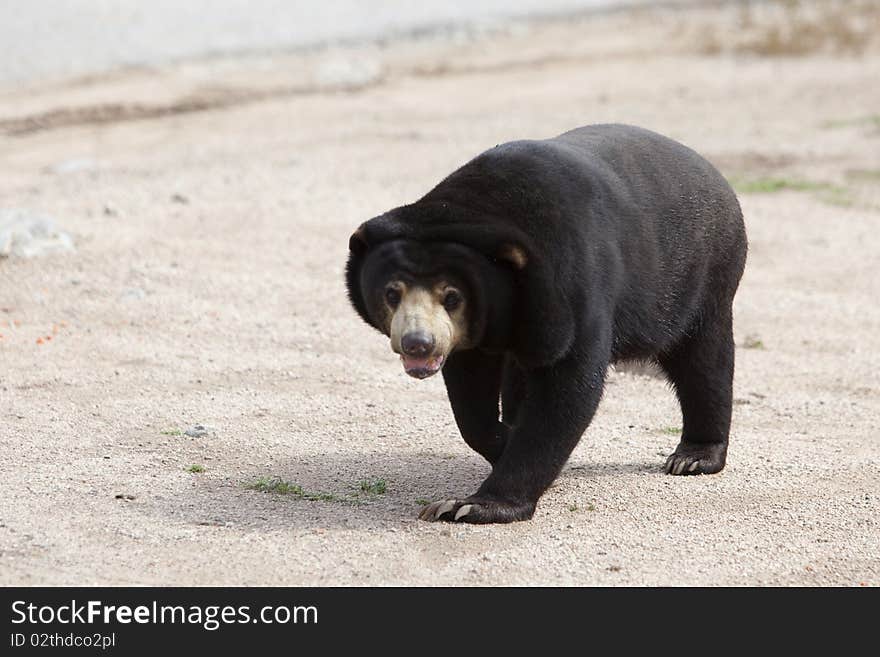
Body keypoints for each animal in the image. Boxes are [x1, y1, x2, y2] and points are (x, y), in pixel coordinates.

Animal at [346, 123, 748, 524]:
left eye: (452, 297)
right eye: (392, 292)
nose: (418, 343)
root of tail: (716, 175)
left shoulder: (572, 287)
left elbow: (566, 389)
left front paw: (471, 505)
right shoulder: (479, 331)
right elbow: (470, 395)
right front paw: (503, 444)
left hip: (703, 276)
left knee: (702, 361)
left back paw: (693, 457)